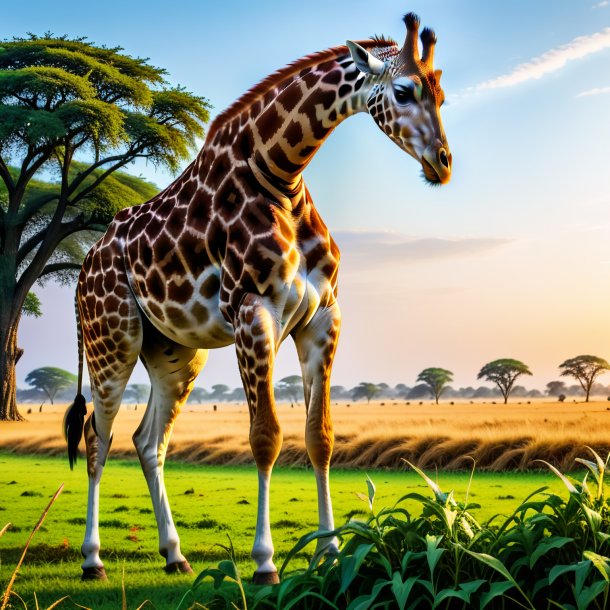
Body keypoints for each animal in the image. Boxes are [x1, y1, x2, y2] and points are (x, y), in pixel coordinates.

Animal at [64, 9, 448, 580]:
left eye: (441, 94)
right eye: (403, 91)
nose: (442, 162)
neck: (282, 174)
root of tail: (83, 270)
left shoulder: (323, 318)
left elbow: (320, 438)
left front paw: (330, 553)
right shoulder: (253, 312)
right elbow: (265, 437)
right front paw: (266, 563)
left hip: (176, 354)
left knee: (147, 441)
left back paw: (174, 554)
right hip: (111, 340)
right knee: (98, 438)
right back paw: (93, 560)